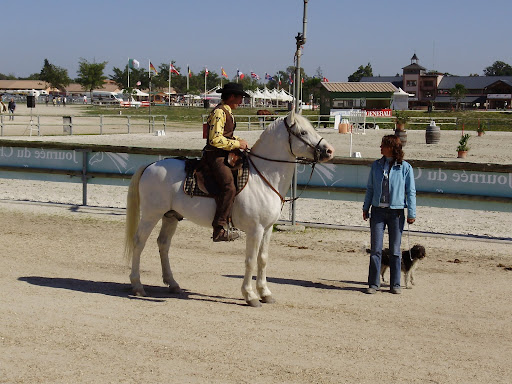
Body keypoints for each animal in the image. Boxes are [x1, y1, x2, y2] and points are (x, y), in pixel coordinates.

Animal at [124, 109, 336, 308]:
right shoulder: (255, 230)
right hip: (151, 215)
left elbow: (263, 259)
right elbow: (250, 260)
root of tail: (151, 165)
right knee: (139, 242)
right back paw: (137, 285)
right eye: (303, 132)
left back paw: (173, 284)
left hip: (170, 216)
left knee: (163, 244)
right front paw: (250, 295)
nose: (329, 150)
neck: (263, 177)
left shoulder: (267, 229)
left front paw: (265, 293)